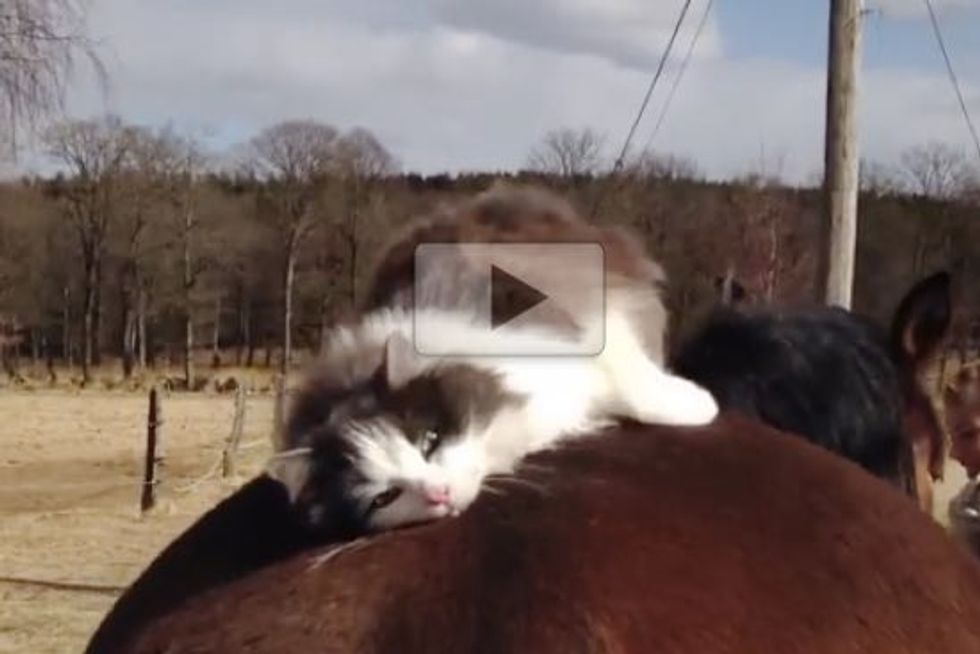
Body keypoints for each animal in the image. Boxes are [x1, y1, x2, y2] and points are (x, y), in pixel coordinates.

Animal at [264, 184, 716, 540]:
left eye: (429, 441)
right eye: (384, 497)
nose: (439, 493)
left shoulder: (582, 322)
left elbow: (632, 383)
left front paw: (700, 406)